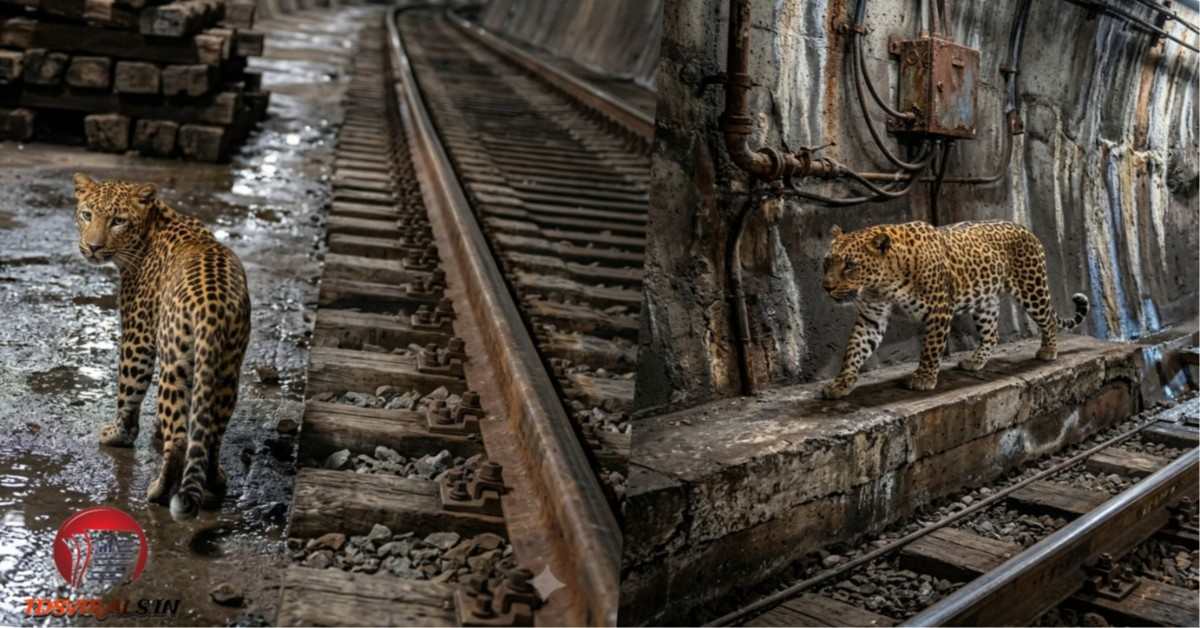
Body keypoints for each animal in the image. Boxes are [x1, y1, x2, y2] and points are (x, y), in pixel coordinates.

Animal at [72, 173, 251, 521]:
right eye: (86, 215)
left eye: (118, 221)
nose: (93, 247)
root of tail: (213, 308)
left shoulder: (138, 336)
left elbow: (128, 390)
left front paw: (118, 435)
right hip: (226, 368)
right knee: (211, 432)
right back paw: (214, 482)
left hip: (173, 362)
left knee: (180, 438)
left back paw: (158, 491)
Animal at [819, 220, 1088, 399]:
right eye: (827, 262)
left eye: (850, 265)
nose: (826, 287)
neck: (881, 284)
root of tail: (1025, 228)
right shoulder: (871, 317)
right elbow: (854, 349)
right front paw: (840, 383)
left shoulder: (938, 309)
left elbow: (930, 348)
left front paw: (924, 379)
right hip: (985, 301)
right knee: (991, 334)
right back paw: (975, 361)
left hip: (1031, 287)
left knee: (1048, 319)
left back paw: (1048, 351)